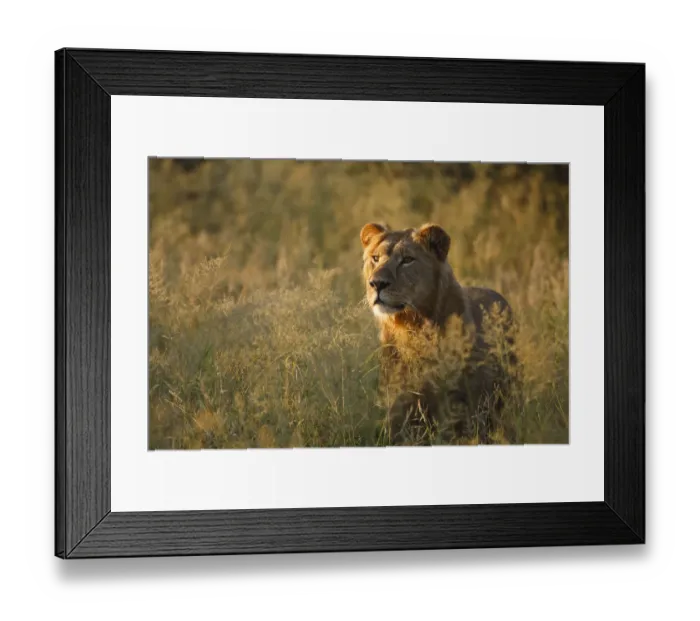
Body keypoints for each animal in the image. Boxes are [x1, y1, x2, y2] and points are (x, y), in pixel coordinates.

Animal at [360, 222, 518, 445]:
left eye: (407, 260)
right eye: (375, 258)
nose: (377, 283)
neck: (411, 327)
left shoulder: (457, 409)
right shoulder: (398, 408)